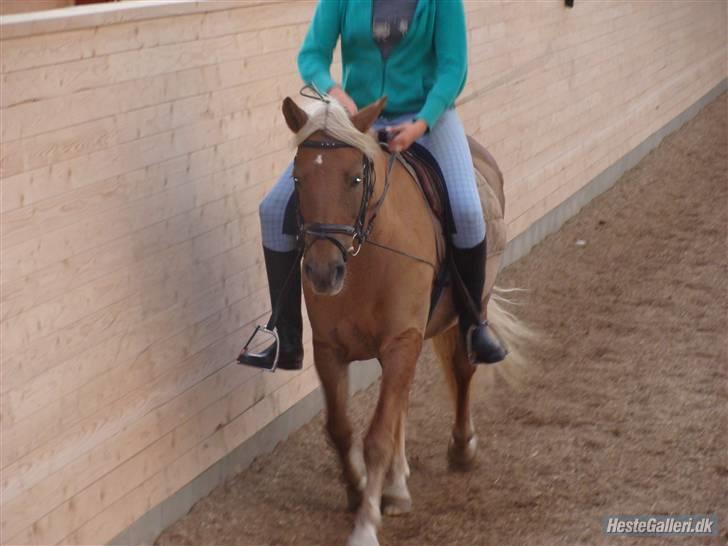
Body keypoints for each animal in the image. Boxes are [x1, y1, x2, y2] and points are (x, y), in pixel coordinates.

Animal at [282, 95, 528, 544]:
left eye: (355, 178)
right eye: (297, 179)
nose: (323, 273)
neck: (367, 257)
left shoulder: (402, 340)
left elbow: (377, 435)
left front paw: (365, 524)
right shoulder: (331, 349)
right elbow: (341, 429)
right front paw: (359, 489)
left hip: (469, 310)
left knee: (462, 370)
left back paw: (461, 448)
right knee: (402, 400)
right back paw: (396, 486)